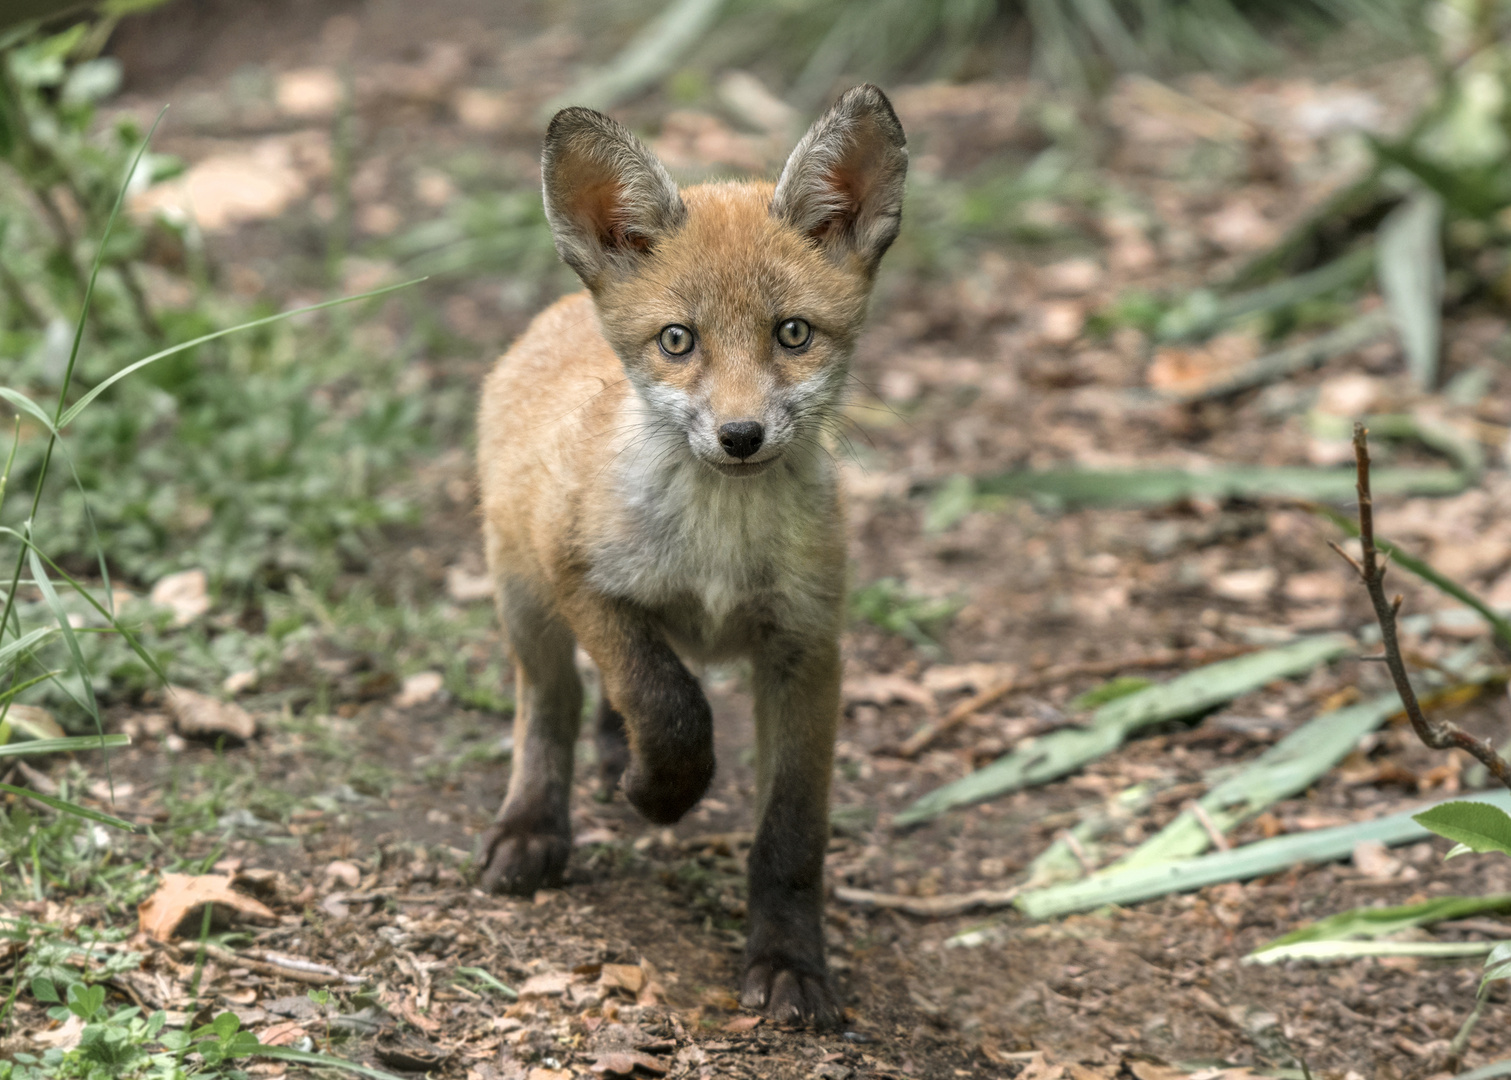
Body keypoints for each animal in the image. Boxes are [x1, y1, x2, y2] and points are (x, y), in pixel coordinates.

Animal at [471, 86, 900, 1033]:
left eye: (792, 334)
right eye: (678, 341)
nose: (740, 436)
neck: (718, 551)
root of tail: (559, 313)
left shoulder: (807, 646)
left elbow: (790, 836)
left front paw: (788, 964)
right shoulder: (584, 580)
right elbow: (668, 706)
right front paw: (658, 793)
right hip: (522, 599)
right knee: (550, 706)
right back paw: (533, 828)